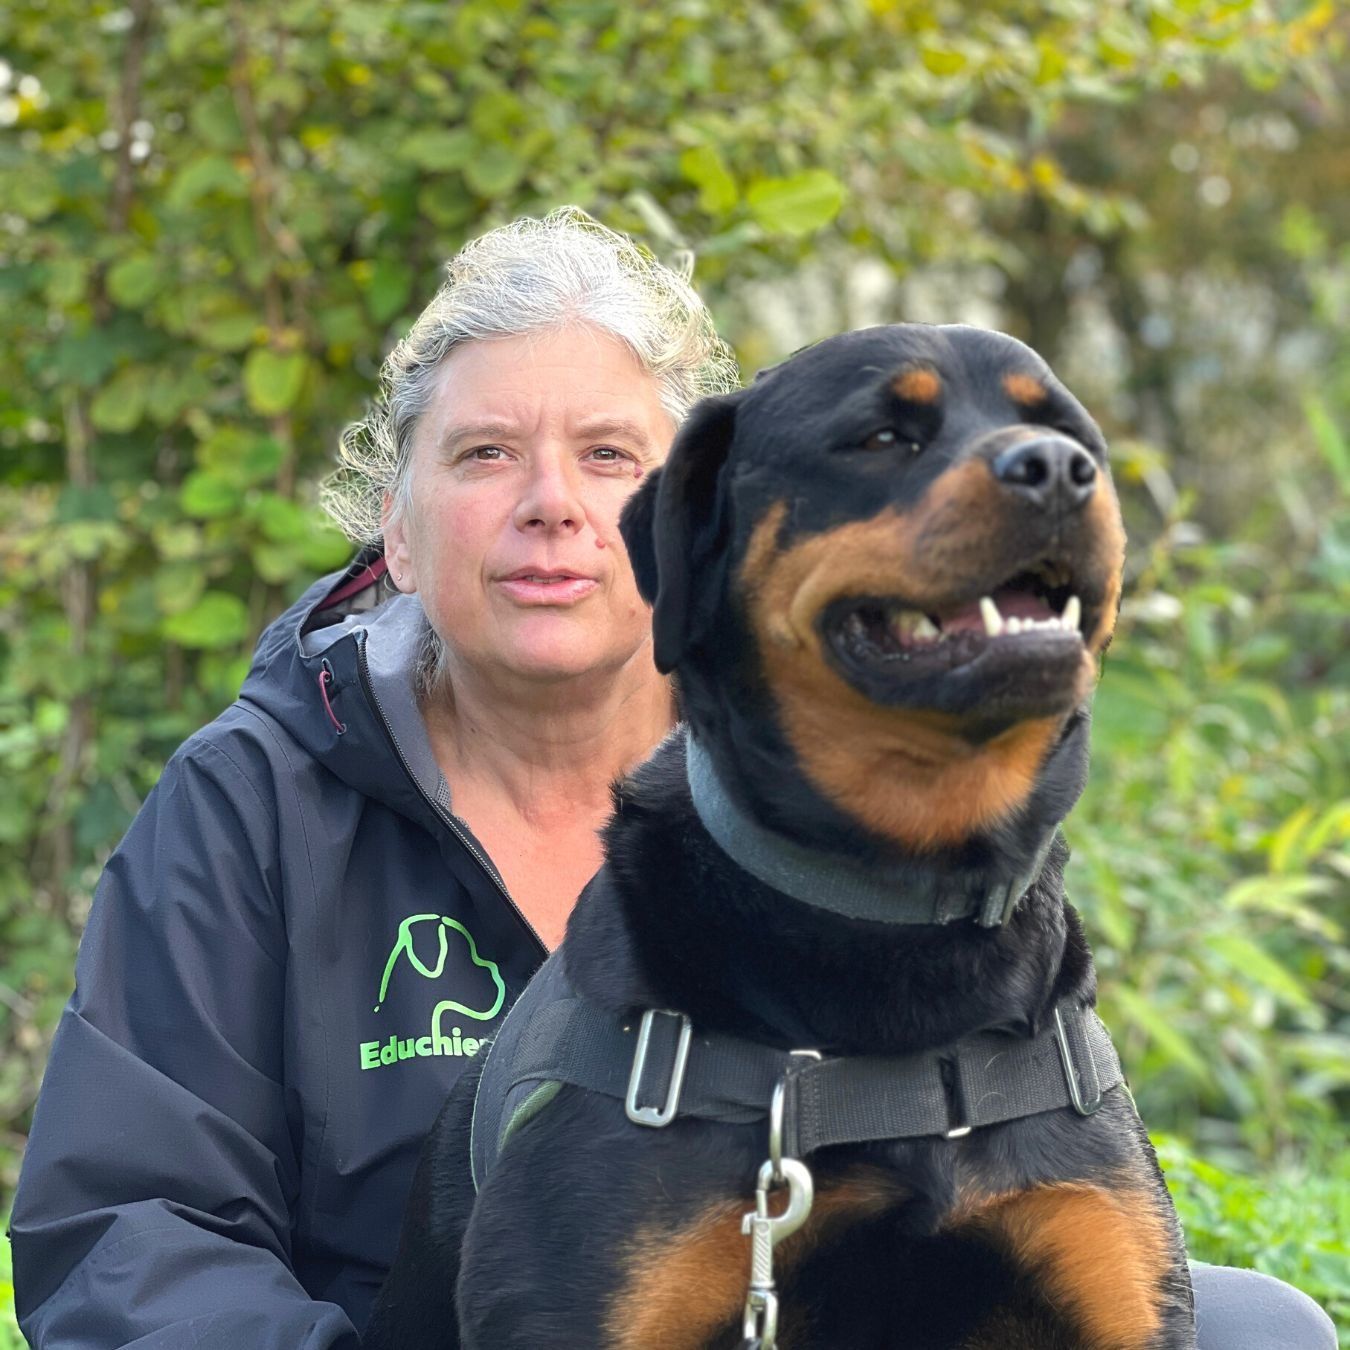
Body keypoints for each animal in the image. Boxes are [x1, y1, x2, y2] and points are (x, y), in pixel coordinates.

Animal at [367, 324, 1193, 1350]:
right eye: (881, 437)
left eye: (1074, 437)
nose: (1057, 470)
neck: (899, 904)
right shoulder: (581, 1297)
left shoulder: (1113, 1276)